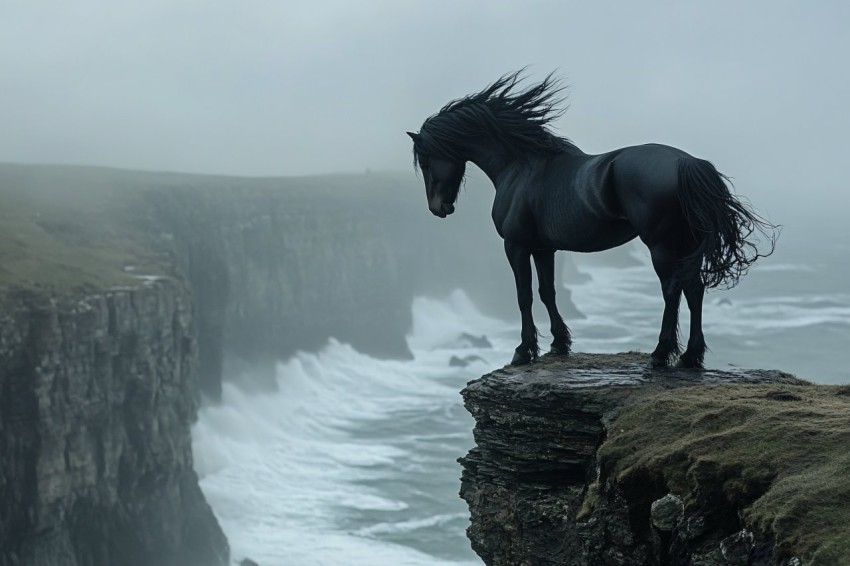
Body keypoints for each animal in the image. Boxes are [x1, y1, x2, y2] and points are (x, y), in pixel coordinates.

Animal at [410, 71, 776, 370]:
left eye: (425, 161)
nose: (437, 207)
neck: (523, 166)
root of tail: (687, 163)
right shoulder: (543, 249)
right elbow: (547, 292)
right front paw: (559, 344)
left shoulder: (516, 246)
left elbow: (524, 295)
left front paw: (524, 350)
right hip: (687, 244)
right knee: (694, 289)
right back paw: (690, 357)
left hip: (661, 246)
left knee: (672, 291)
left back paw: (660, 355)